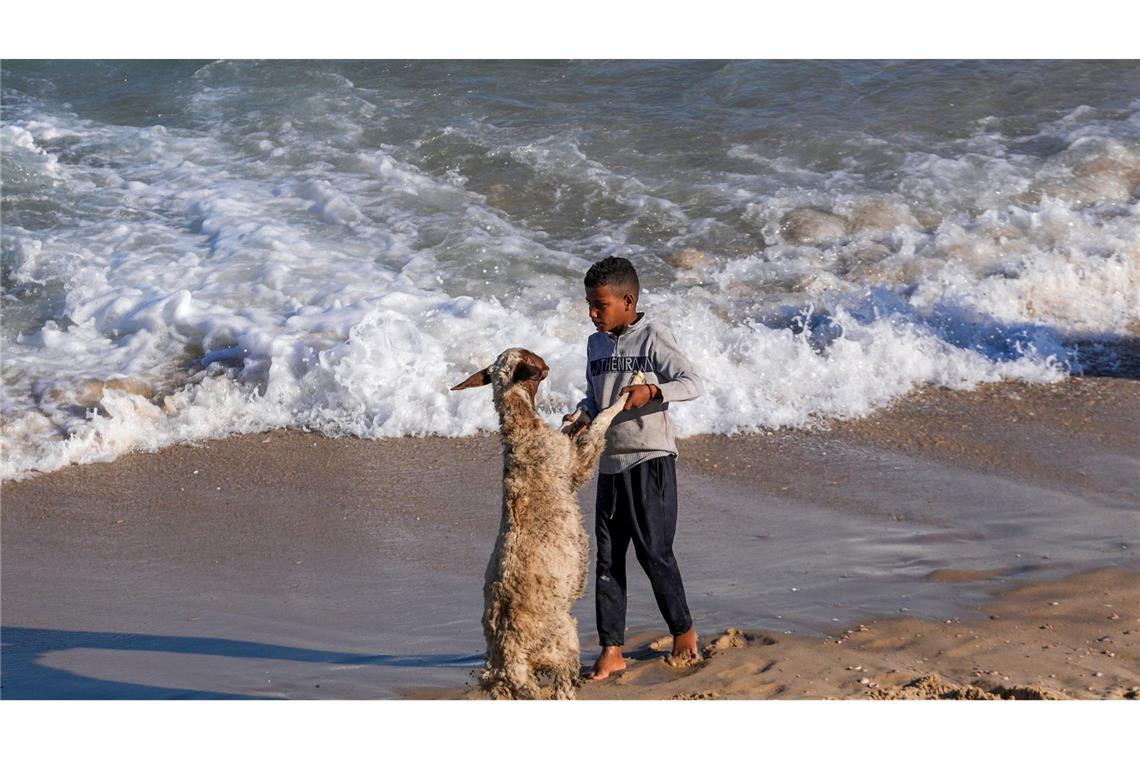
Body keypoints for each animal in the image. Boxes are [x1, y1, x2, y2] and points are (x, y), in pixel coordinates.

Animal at [451, 348, 647, 697]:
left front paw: (576, 415)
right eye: (531, 357)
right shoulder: (576, 464)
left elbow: (580, 426)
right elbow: (603, 420)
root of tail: (508, 660)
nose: (548, 363)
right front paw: (629, 387)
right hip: (563, 639)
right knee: (563, 688)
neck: (522, 431)